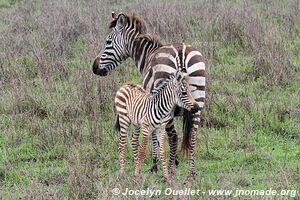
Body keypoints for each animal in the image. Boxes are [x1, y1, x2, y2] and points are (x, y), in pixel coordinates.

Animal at [93, 11, 206, 179]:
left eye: (108, 42)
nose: (94, 68)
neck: (147, 56)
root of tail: (181, 53)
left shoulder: (152, 103)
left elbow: (154, 136)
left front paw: (155, 165)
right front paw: (174, 161)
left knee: (173, 137)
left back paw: (169, 170)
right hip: (198, 100)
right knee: (192, 137)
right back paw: (191, 173)